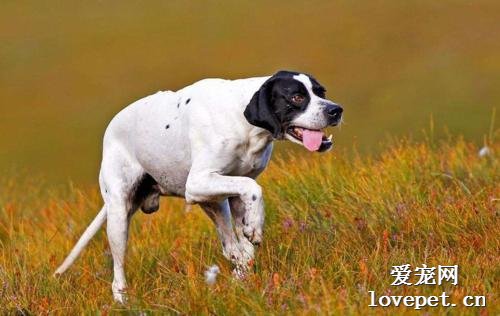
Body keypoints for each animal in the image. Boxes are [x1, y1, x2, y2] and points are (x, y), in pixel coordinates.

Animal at [55, 70, 344, 302]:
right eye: (296, 98)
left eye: (321, 92)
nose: (335, 110)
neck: (242, 121)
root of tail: (111, 127)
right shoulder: (197, 183)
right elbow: (253, 188)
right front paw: (255, 226)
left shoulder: (229, 194)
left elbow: (247, 212)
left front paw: (251, 235)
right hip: (119, 216)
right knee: (118, 273)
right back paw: (122, 300)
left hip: (213, 202)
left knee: (231, 248)